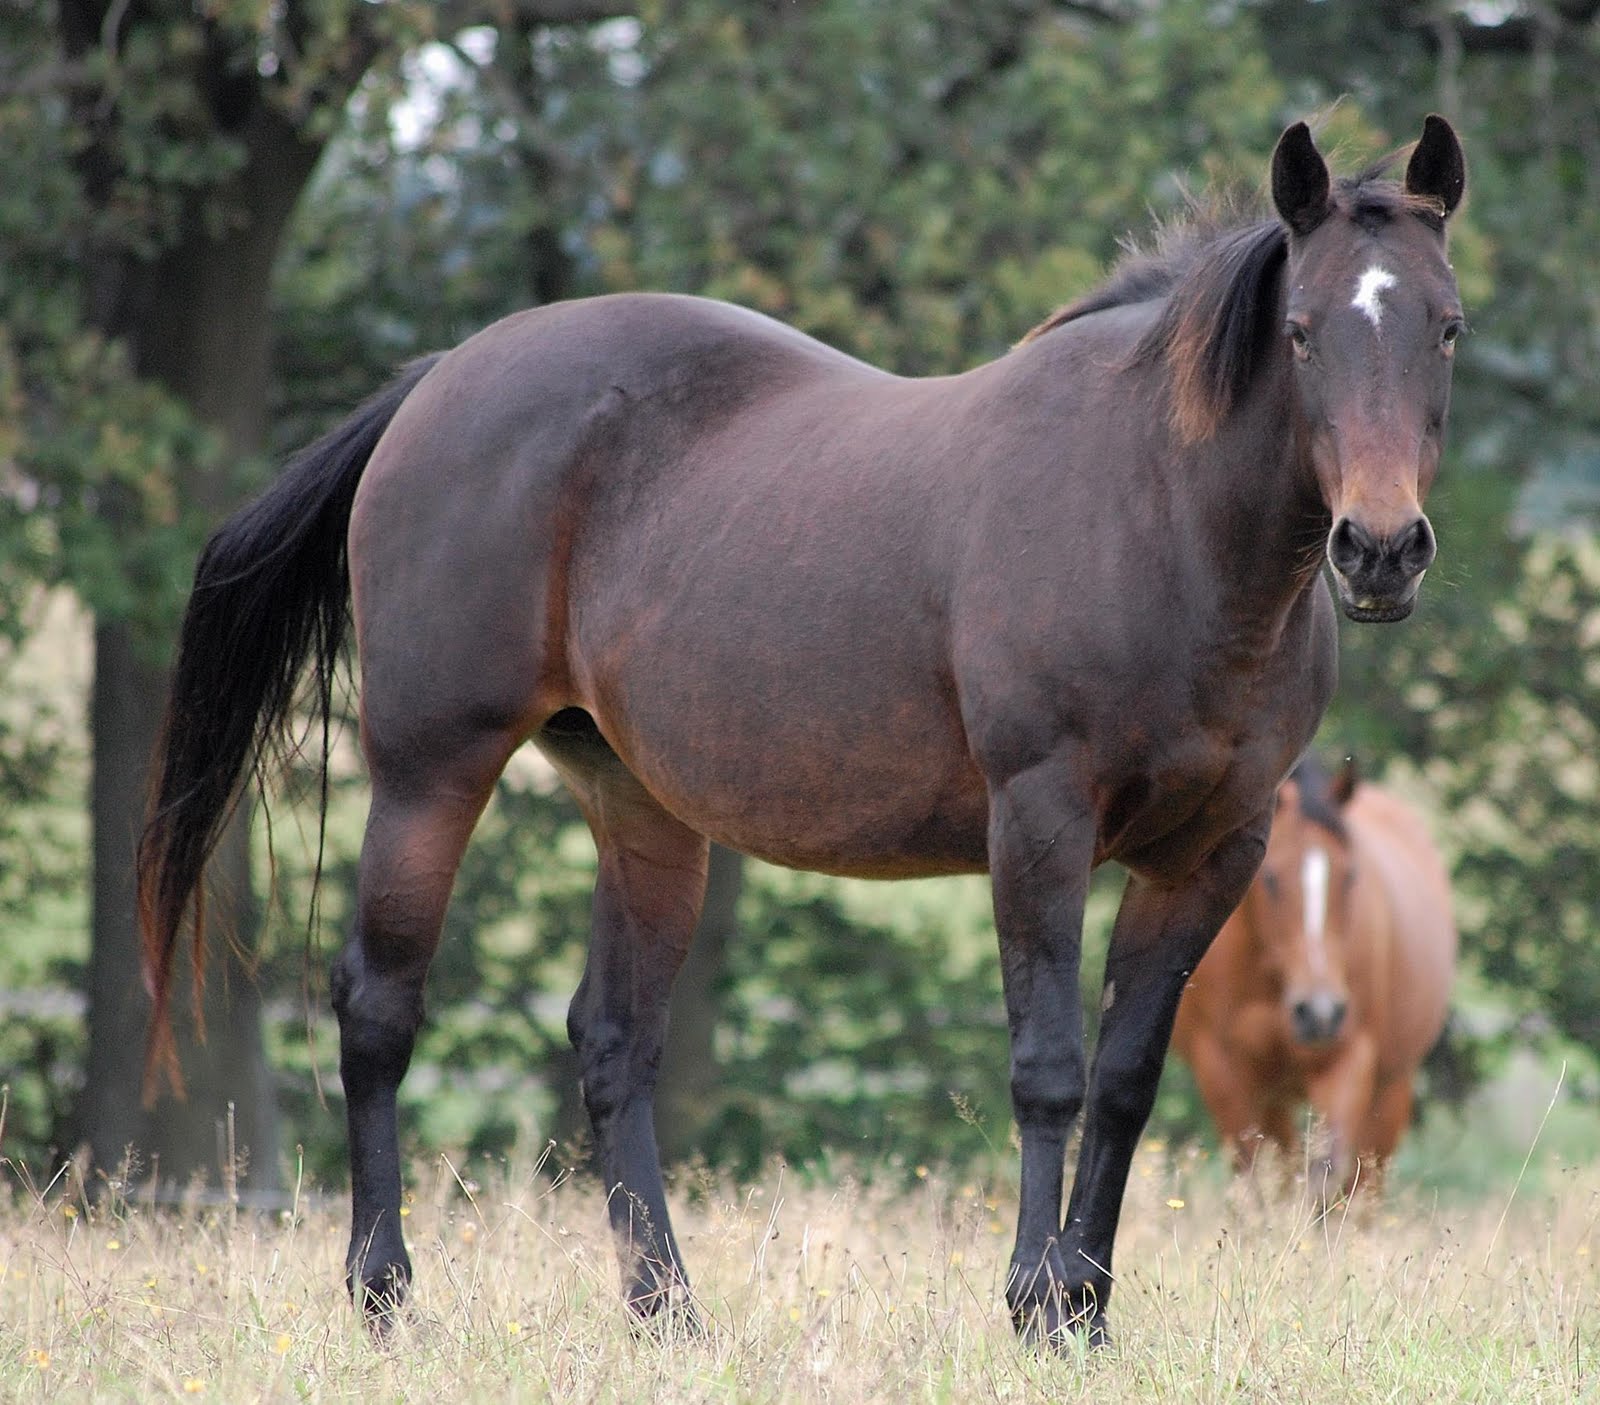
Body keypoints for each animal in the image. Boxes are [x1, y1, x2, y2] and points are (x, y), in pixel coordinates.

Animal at [1171, 758, 1459, 1196]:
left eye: (1350, 875)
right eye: (1270, 878)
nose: (1320, 1012)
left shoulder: (1348, 1059)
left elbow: (1325, 1171)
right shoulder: (1222, 1070)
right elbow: (1255, 1180)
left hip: (1391, 1091)